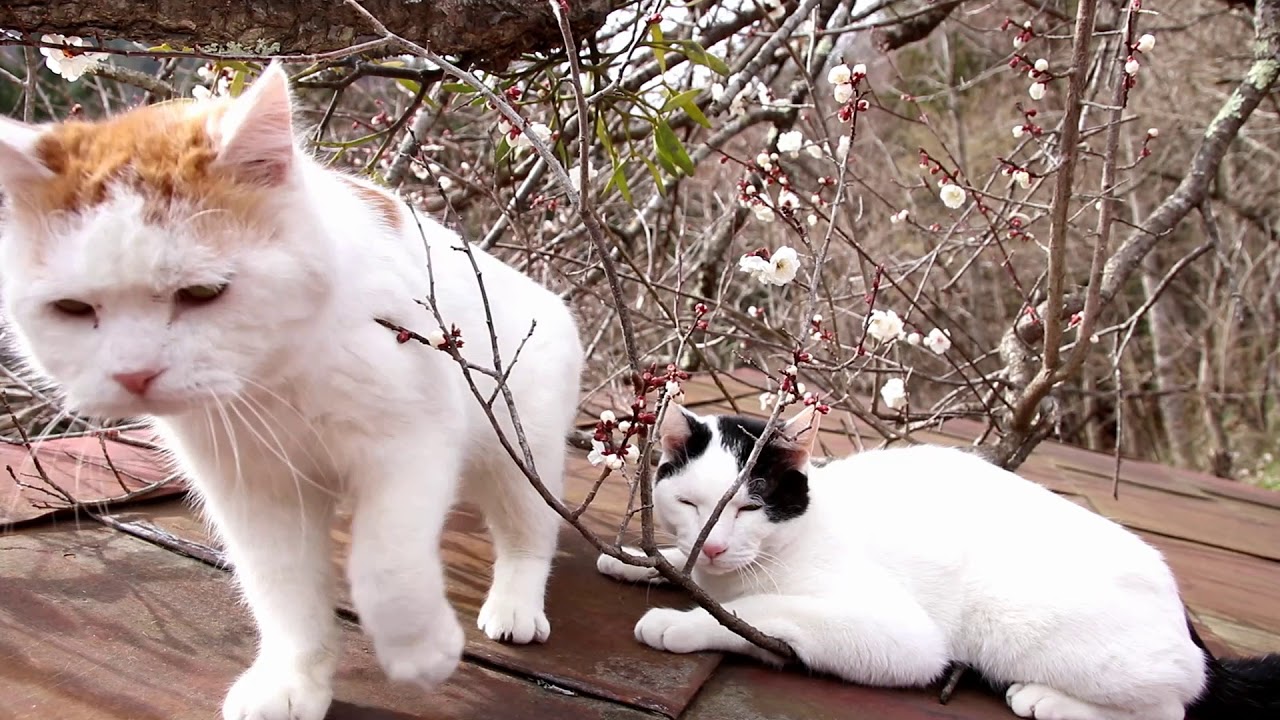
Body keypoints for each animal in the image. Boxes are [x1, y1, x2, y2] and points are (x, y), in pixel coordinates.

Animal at [0, 63, 586, 717]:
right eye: (73, 309)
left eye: (202, 293)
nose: (134, 373)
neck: (276, 384)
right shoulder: (253, 489)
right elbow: (281, 587)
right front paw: (293, 679)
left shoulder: (412, 444)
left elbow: (385, 563)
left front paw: (419, 649)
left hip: (521, 453)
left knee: (528, 530)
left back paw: (515, 603)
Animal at [599, 404, 1280, 717]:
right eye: (690, 502)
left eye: (748, 505)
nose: (713, 546)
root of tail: (1184, 614)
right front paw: (638, 557)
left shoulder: (900, 637)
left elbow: (761, 611)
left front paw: (678, 621)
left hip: (1022, 622)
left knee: (1172, 703)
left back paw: (1047, 699)